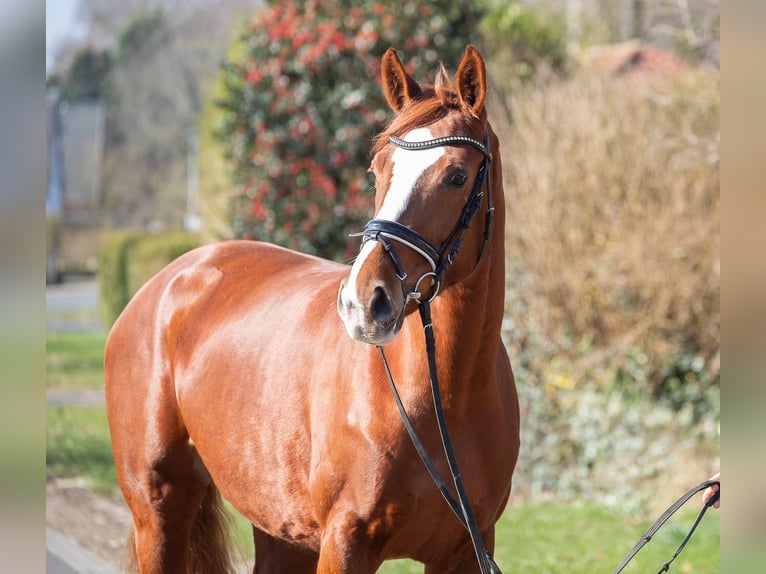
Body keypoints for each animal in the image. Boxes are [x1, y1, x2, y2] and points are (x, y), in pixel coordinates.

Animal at [105, 42, 520, 572]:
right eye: (378, 169)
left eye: (456, 175)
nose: (364, 301)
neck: (446, 396)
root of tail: (171, 279)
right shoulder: (344, 542)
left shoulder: (467, 549)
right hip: (159, 513)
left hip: (280, 530)